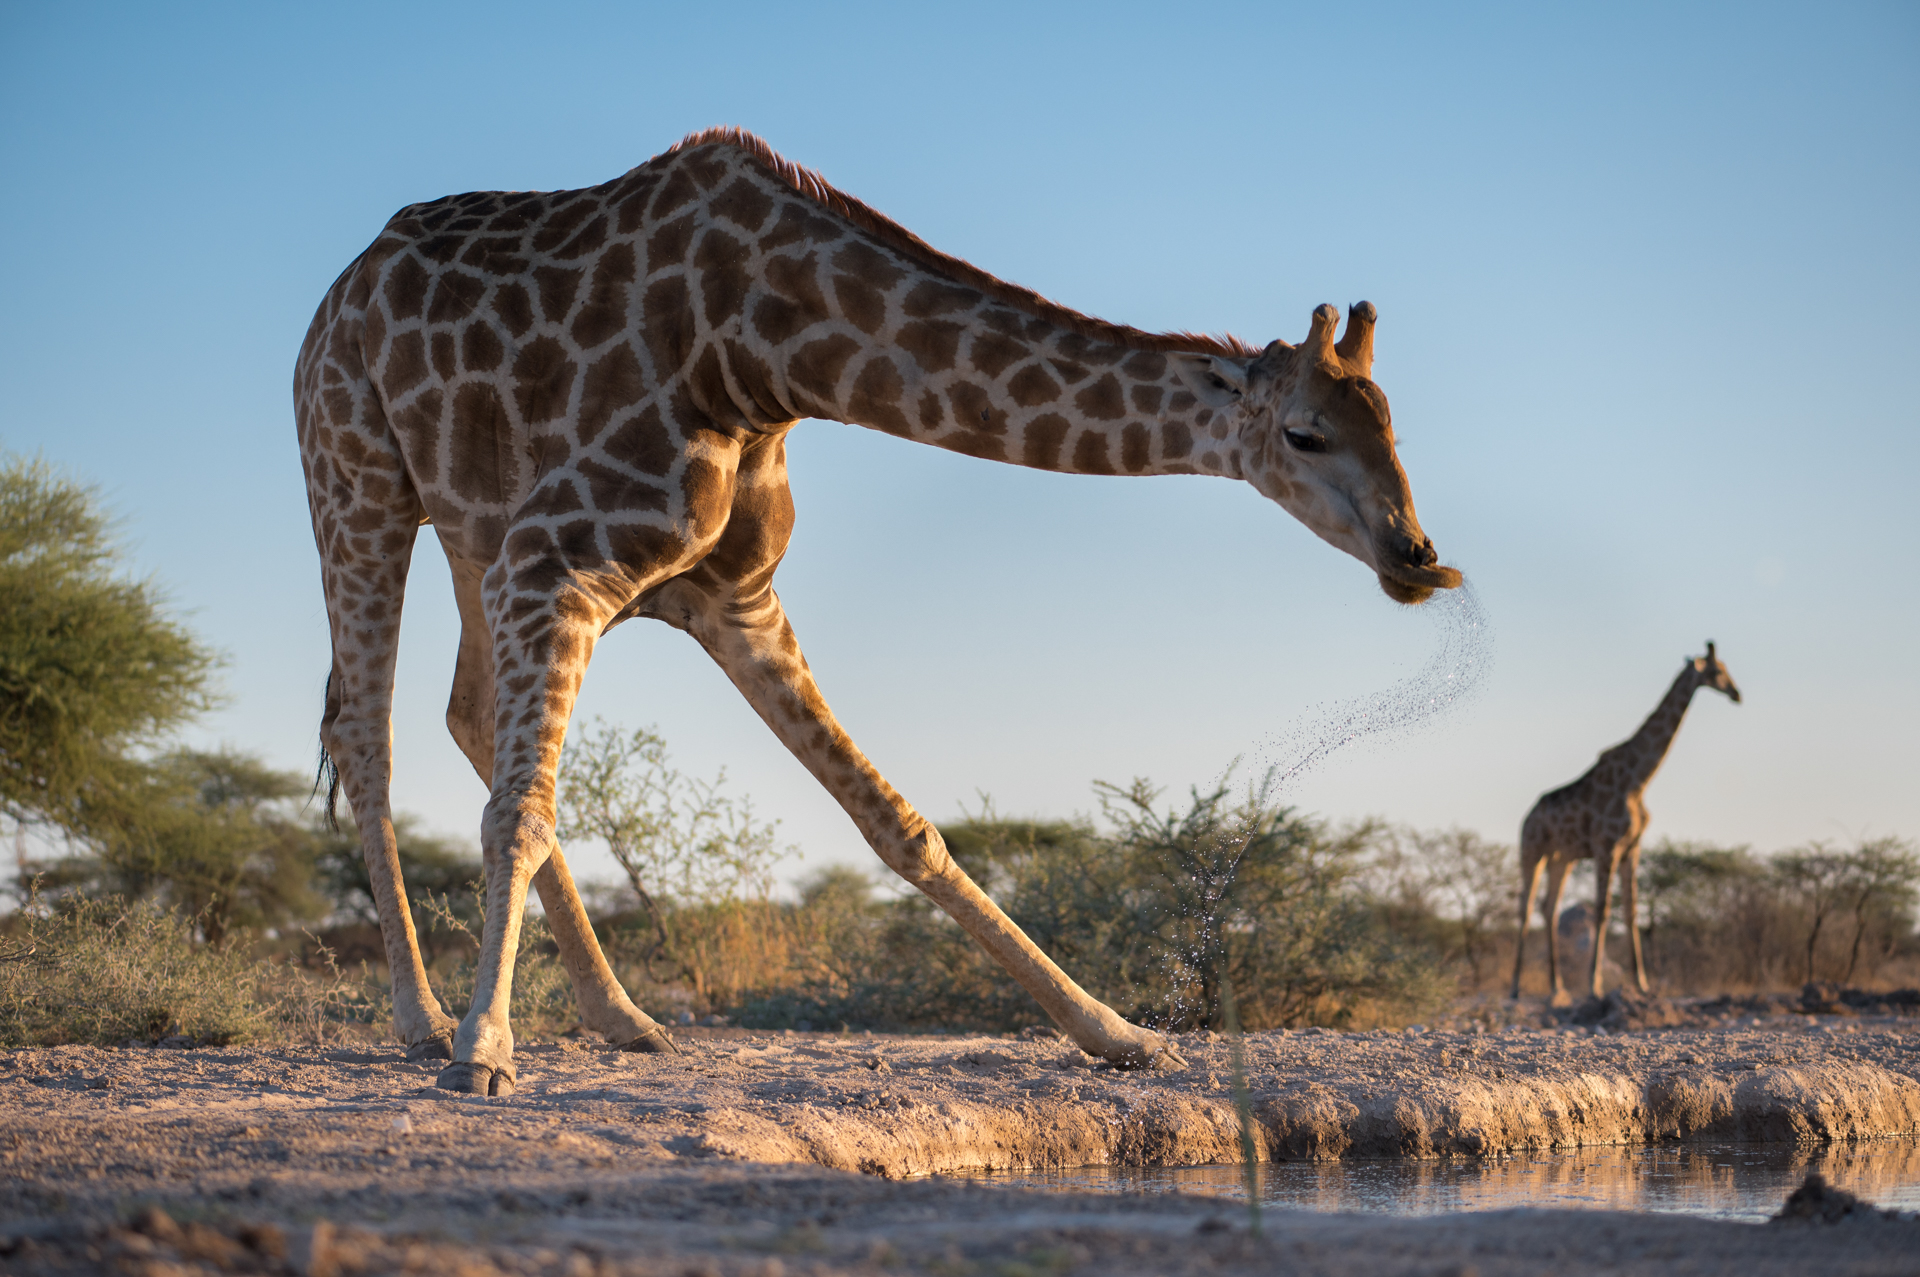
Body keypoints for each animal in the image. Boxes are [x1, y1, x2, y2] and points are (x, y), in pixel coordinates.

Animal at [299, 124, 1459, 1090]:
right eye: (1305, 433)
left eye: (1394, 428)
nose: (1418, 557)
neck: (766, 353)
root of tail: (335, 295)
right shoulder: (555, 562)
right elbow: (523, 807)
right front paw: (484, 1049)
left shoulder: (731, 596)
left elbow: (899, 823)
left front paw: (1118, 1030)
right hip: (359, 479)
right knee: (368, 731)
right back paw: (424, 1019)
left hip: (470, 526)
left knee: (463, 710)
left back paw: (623, 1015)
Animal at [1505, 641, 1751, 998]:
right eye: (1717, 671)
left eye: (1727, 669)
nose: (1737, 694)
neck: (1639, 780)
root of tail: (1528, 816)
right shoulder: (1606, 847)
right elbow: (1603, 910)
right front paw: (1594, 984)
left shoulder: (1632, 847)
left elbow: (1632, 912)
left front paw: (1642, 983)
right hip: (1532, 850)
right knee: (1525, 908)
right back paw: (1514, 988)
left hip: (1562, 858)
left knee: (1549, 909)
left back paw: (1557, 986)